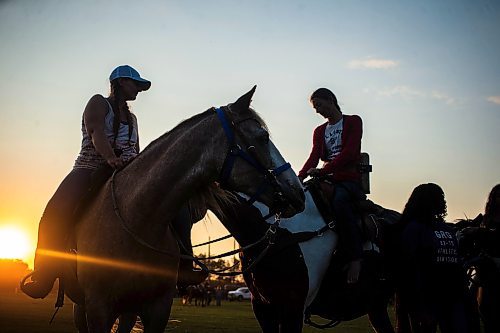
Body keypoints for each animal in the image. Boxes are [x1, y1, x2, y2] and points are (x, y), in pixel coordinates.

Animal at [62, 87, 304, 332]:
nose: (298, 191)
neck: (136, 220)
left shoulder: (158, 308)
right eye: (263, 138)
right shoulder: (98, 308)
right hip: (83, 308)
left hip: (127, 311)